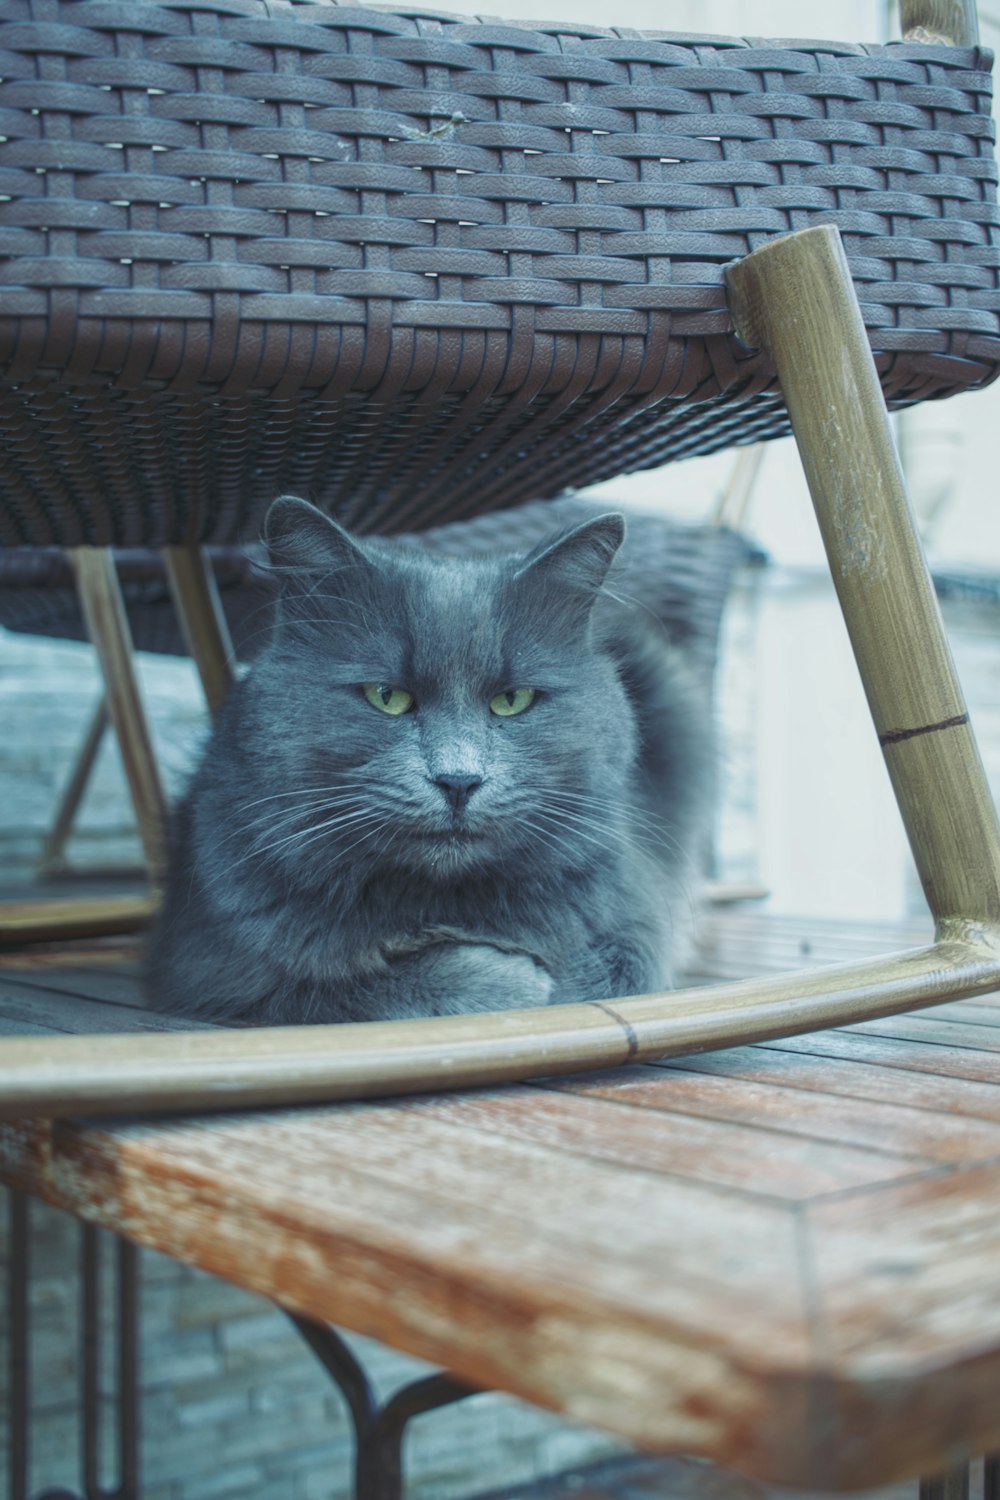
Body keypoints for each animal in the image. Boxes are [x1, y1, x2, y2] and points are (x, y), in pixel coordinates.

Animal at [146, 498, 710, 1026]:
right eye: (387, 697)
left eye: (513, 700)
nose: (458, 780)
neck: (440, 904)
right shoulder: (212, 966)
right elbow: (342, 988)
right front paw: (507, 979)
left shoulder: (635, 925)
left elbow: (607, 974)